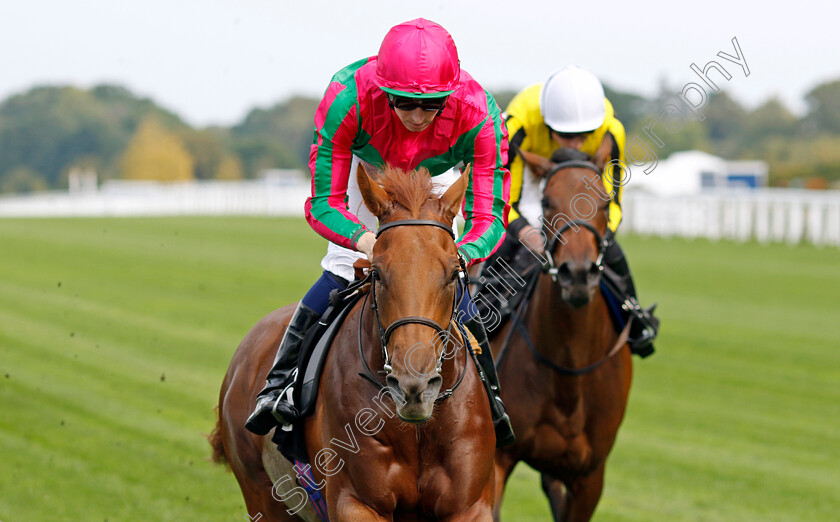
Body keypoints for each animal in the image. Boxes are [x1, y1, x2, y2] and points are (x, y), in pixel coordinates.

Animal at [212, 165, 498, 516]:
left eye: (452, 273)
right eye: (377, 272)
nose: (413, 387)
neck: (418, 429)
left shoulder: (470, 506)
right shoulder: (356, 501)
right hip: (261, 496)